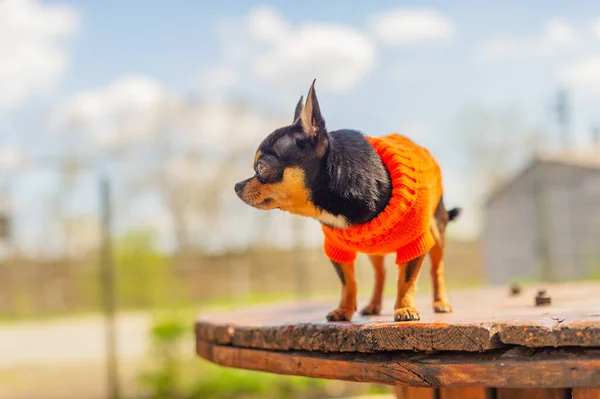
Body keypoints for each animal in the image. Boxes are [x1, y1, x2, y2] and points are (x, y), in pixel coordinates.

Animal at [234, 80, 460, 322]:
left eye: (261, 168)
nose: (237, 186)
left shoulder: (415, 241)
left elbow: (407, 280)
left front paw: (404, 308)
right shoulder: (338, 249)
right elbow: (347, 282)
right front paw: (344, 310)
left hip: (437, 231)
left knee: (437, 269)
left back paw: (441, 302)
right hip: (375, 250)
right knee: (380, 274)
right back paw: (374, 305)